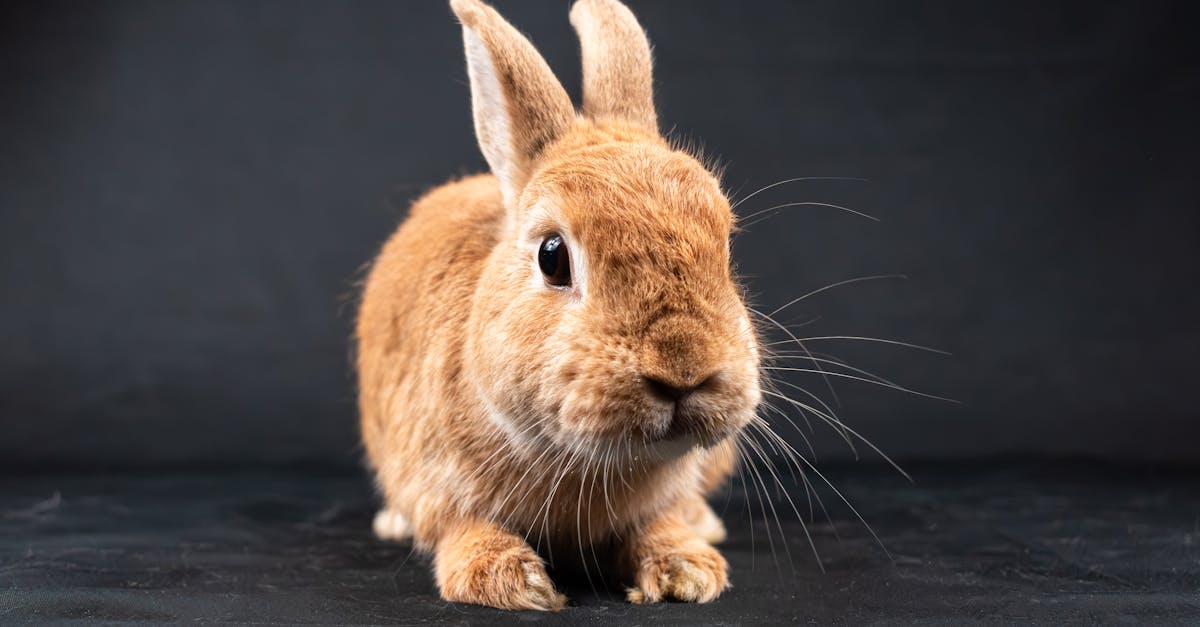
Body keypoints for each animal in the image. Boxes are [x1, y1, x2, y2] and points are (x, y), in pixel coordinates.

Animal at [356, 0, 762, 611]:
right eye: (553, 257)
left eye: (726, 244)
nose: (683, 370)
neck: (581, 460)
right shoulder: (432, 479)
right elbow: (460, 527)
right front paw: (512, 581)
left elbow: (659, 523)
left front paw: (686, 570)